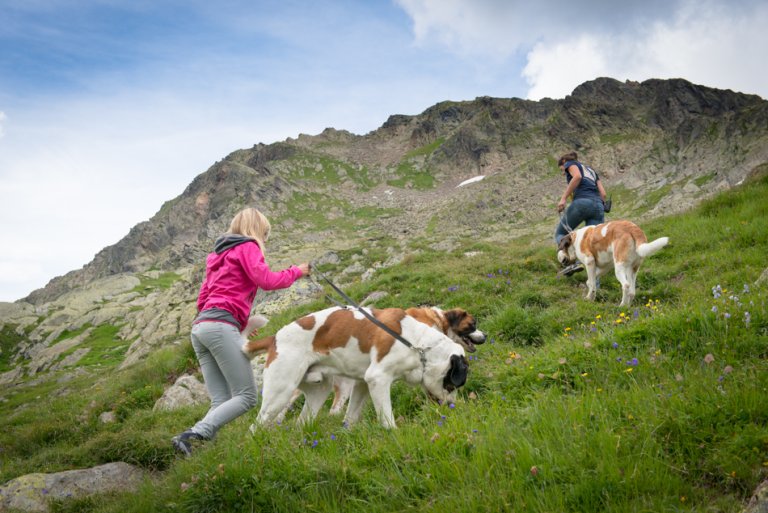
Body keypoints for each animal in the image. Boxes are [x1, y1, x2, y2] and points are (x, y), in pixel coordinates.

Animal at [242, 306, 468, 430]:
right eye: (451, 385)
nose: (452, 407)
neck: (416, 343)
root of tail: (274, 338)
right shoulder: (377, 379)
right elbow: (387, 418)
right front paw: (393, 434)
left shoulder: (362, 384)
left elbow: (350, 417)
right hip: (280, 393)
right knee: (255, 427)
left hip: (318, 392)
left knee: (302, 422)